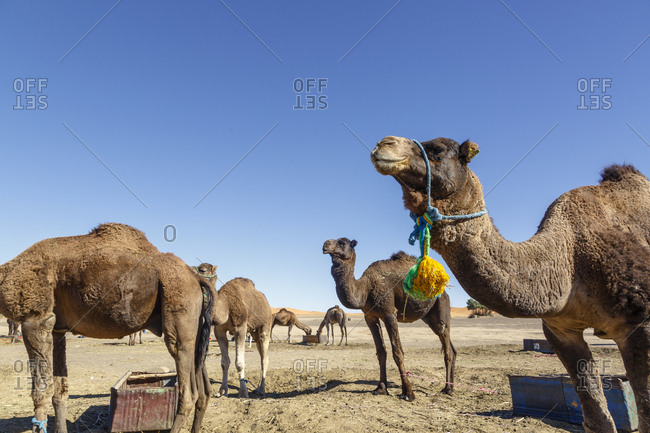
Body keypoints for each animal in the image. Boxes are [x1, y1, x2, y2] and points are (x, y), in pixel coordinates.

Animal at [0, 223, 213, 433]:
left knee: (188, 393)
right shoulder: (57, 329)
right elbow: (60, 391)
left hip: (178, 309)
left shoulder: (35, 319)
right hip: (196, 328)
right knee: (203, 391)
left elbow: (41, 391)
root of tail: (196, 278)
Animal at [194, 263, 272, 398]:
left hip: (265, 325)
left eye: (203, 270)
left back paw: (262, 389)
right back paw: (257, 388)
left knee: (264, 358)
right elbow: (224, 362)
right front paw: (222, 391)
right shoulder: (219, 331)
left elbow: (239, 363)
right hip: (254, 331)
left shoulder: (240, 328)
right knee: (261, 352)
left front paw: (243, 392)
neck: (226, 306)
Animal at [323, 239, 456, 399]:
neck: (367, 287)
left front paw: (408, 393)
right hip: (428, 316)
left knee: (447, 346)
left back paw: (448, 389)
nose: (325, 245)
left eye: (342, 242)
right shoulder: (370, 316)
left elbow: (398, 352)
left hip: (442, 302)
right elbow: (381, 352)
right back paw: (451, 387)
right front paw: (381, 388)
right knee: (450, 346)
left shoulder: (389, 313)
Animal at [371, 136, 650, 432]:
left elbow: (644, 408)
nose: (384, 143)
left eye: (437, 149)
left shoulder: (639, 322)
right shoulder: (560, 330)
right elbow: (597, 417)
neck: (569, 260)